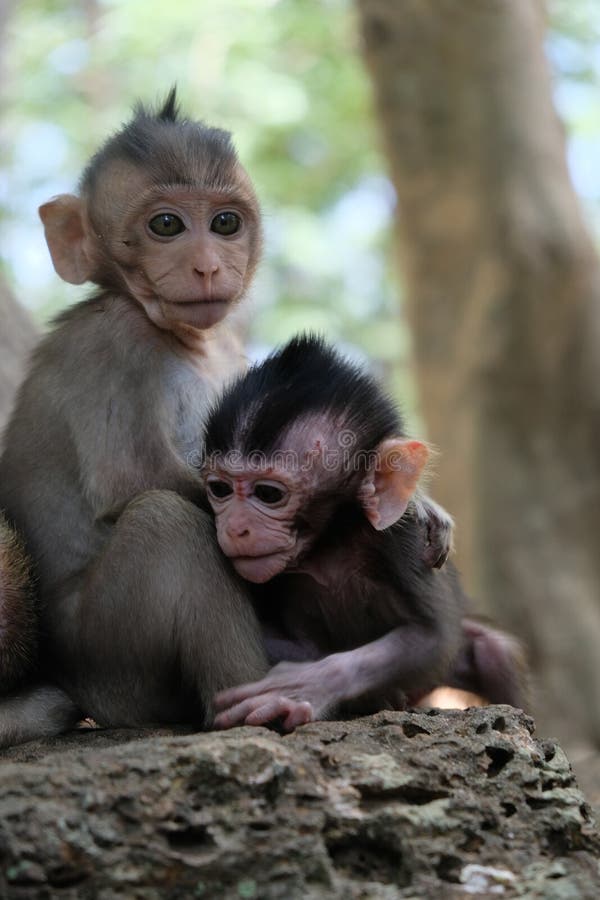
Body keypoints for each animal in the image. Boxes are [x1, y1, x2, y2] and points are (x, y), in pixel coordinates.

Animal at [204, 336, 528, 732]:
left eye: (268, 494)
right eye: (219, 489)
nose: (236, 527)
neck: (330, 542)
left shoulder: (404, 539)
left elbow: (434, 636)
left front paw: (305, 685)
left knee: (494, 651)